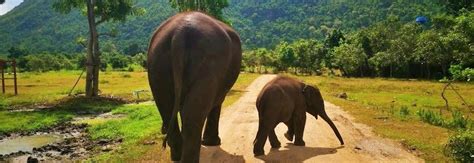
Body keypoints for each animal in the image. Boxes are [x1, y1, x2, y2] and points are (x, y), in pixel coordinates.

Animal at [147, 12, 243, 162]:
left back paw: (177, 156)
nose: (161, 130)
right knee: (191, 115)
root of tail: (180, 31)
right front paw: (212, 143)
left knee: (167, 107)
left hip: (157, 60)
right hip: (210, 60)